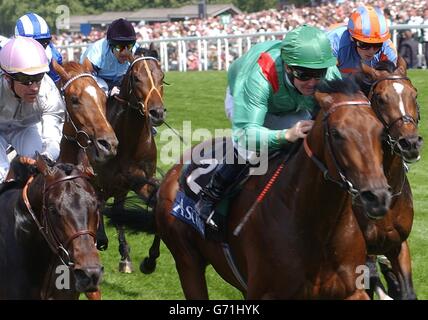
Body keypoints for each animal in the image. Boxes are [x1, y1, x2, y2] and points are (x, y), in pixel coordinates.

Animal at [92, 47, 166, 272]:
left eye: (162, 76)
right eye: (136, 78)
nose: (157, 112)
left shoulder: (138, 180)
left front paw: (150, 260)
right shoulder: (102, 182)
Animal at [150, 79, 392, 298]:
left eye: (380, 131)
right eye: (336, 133)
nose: (377, 197)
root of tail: (173, 172)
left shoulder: (352, 291)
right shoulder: (266, 293)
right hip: (187, 262)